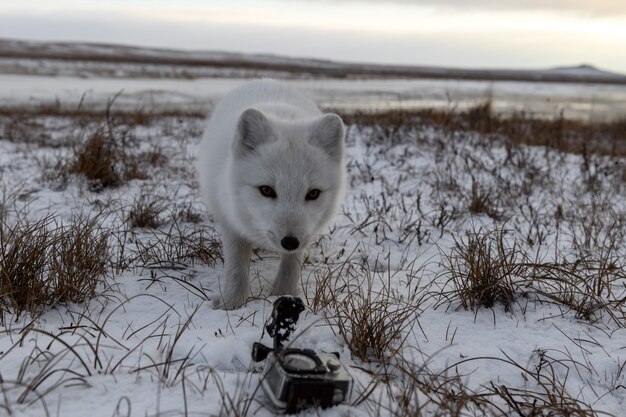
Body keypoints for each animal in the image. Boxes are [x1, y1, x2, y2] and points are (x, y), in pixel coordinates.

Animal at [195, 79, 344, 308]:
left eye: (313, 194)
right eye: (266, 190)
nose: (289, 242)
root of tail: (266, 80)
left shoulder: (305, 235)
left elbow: (291, 264)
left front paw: (283, 293)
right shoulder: (230, 219)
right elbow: (236, 267)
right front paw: (232, 304)